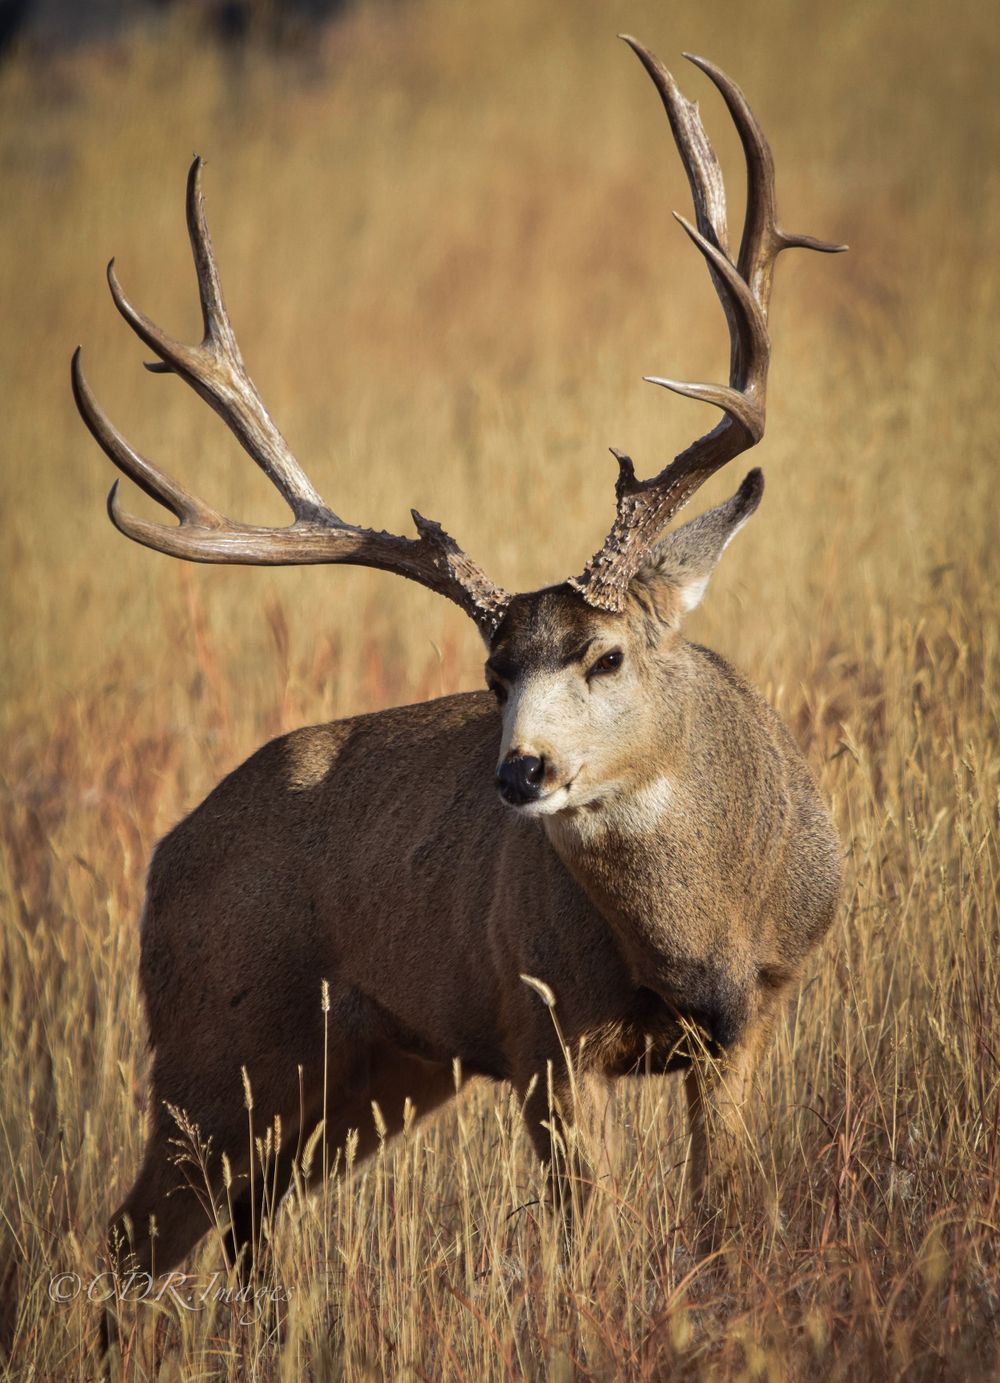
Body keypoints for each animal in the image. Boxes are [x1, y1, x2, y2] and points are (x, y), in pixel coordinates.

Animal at [73, 37, 844, 1286]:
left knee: (242, 1222)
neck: (695, 939)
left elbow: (721, 1214)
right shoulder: (542, 1039)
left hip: (374, 1075)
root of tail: (164, 856)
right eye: (490, 674)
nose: (519, 773)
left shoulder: (750, 1021)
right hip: (215, 1040)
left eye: (607, 655)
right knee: (133, 1236)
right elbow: (589, 1238)